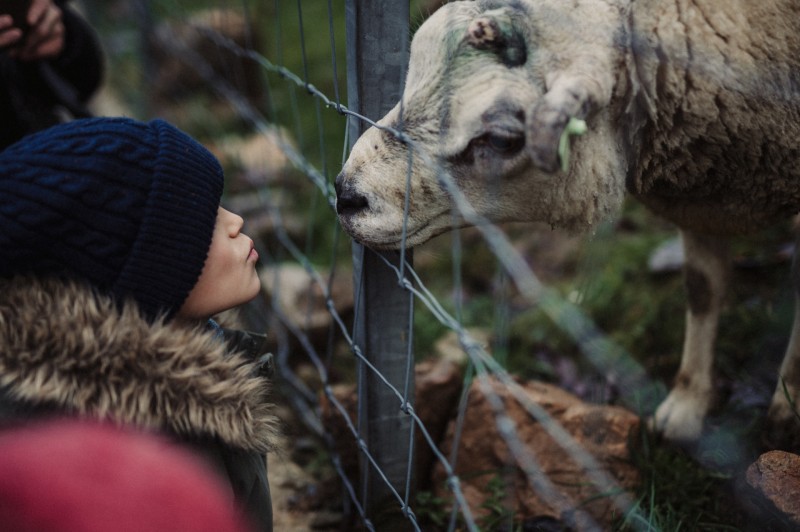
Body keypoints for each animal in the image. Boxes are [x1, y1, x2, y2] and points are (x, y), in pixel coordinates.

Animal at [334, 0, 800, 446]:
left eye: (502, 139)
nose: (346, 195)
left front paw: (785, 412)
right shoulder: (701, 194)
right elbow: (702, 288)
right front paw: (684, 409)